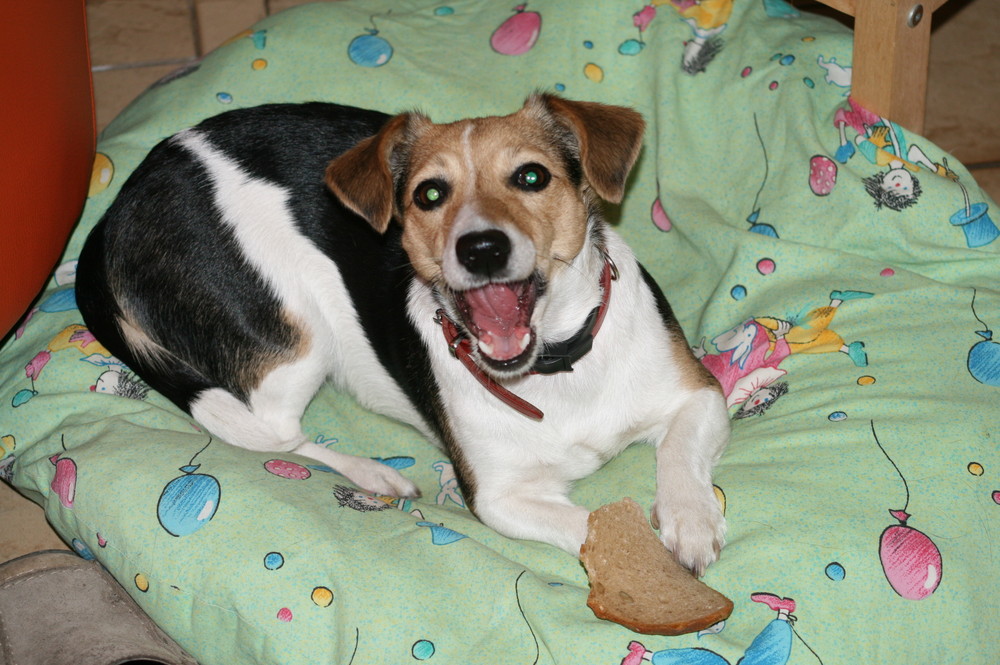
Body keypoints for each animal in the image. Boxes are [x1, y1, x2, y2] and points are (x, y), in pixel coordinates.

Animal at [78, 94, 732, 576]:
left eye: (531, 176)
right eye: (429, 193)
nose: (481, 247)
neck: (555, 369)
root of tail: (118, 207)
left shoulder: (700, 395)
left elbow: (677, 453)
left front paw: (690, 521)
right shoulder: (498, 498)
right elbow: (589, 523)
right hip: (293, 337)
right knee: (276, 433)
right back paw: (373, 473)